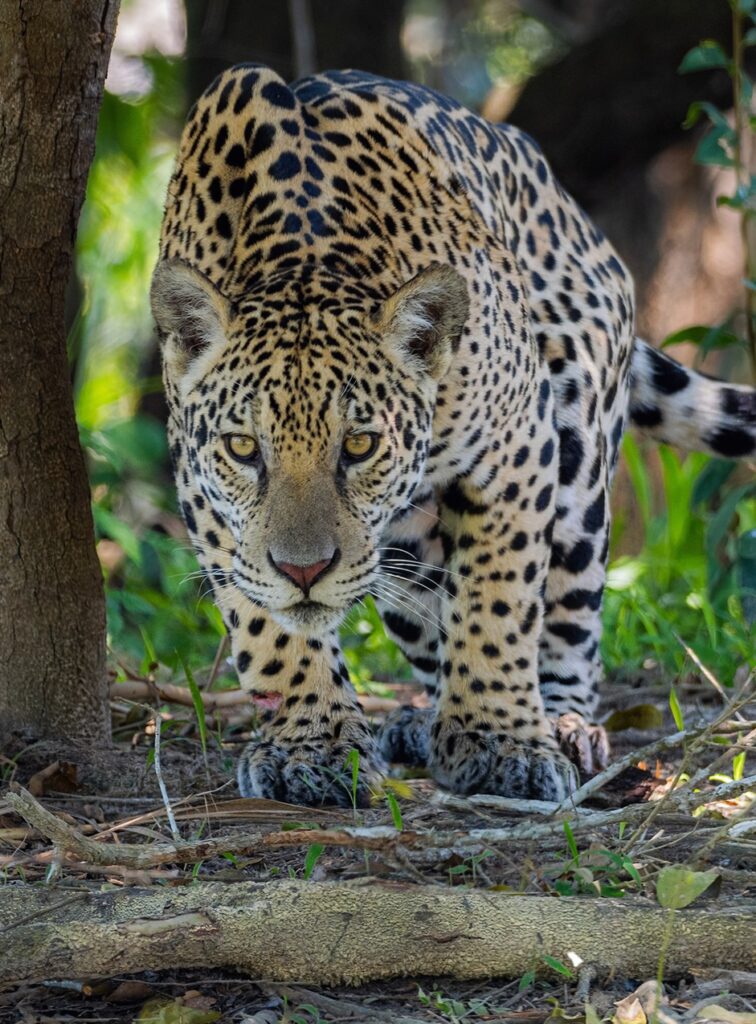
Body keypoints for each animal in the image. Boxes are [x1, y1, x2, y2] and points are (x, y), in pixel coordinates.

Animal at [151, 64, 756, 806]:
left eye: (359, 445)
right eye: (243, 449)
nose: (304, 572)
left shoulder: (518, 443)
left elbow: (500, 599)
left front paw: (502, 742)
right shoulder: (197, 480)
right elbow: (262, 620)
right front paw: (311, 747)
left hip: (579, 450)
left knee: (570, 610)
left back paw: (564, 724)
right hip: (406, 552)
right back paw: (424, 723)